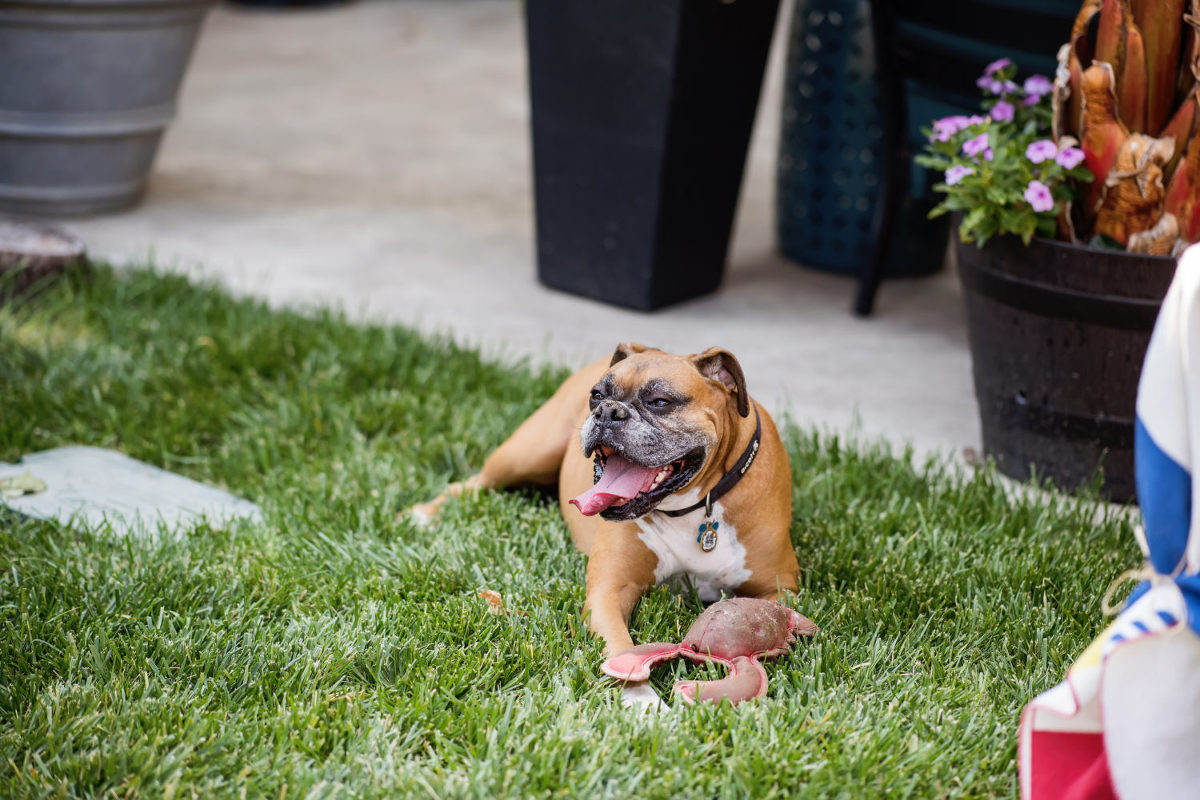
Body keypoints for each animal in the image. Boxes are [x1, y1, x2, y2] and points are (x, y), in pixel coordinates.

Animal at [408, 340, 801, 662]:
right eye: (597, 395)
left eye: (661, 402)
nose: (608, 412)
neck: (693, 509)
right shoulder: (608, 593)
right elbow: (620, 650)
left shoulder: (780, 588)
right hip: (526, 453)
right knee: (470, 483)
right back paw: (421, 515)